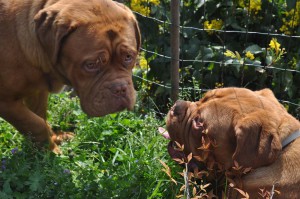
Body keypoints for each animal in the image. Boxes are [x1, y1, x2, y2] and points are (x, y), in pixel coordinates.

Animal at [0, 0, 141, 153]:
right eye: (91, 64)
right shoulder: (6, 102)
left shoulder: (38, 91)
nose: (120, 89)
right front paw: (50, 151)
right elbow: (35, 123)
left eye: (128, 57)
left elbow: (40, 116)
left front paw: (52, 139)